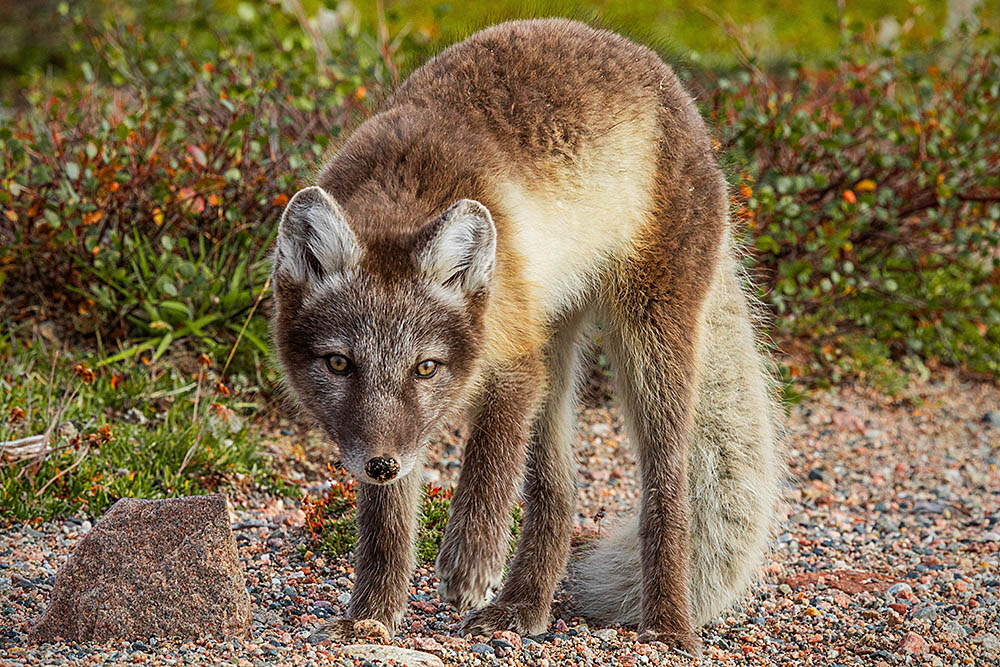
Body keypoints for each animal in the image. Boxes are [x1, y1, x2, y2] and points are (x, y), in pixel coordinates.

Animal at [274, 17, 780, 652]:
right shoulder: (395, 435)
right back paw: (521, 606)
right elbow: (385, 527)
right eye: (340, 364)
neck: (402, 191)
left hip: (646, 347)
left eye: (425, 367)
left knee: (668, 493)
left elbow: (488, 463)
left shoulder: (516, 367)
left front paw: (469, 562)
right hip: (556, 352)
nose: (383, 467)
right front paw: (372, 616)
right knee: (560, 495)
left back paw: (667, 627)